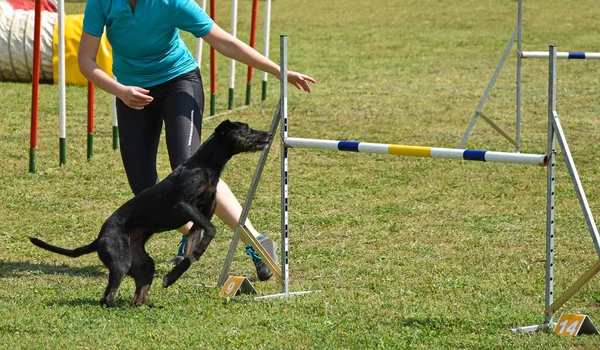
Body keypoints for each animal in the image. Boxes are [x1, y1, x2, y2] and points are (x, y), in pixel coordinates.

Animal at [30, 119, 270, 306]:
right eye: (245, 129)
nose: (268, 134)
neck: (206, 166)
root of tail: (99, 238)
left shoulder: (198, 220)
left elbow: (190, 255)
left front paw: (172, 277)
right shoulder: (183, 207)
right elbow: (211, 230)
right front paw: (198, 253)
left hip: (144, 265)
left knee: (137, 296)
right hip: (120, 262)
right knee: (106, 298)